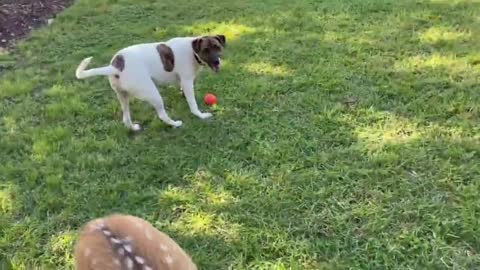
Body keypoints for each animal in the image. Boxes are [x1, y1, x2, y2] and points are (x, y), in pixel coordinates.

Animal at [75, 35, 225, 130]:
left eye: (217, 47)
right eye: (206, 50)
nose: (217, 61)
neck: (192, 51)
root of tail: (116, 67)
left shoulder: (183, 82)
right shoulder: (187, 81)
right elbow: (193, 104)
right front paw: (201, 115)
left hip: (123, 96)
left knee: (126, 117)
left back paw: (133, 128)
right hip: (153, 93)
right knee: (162, 115)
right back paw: (175, 124)